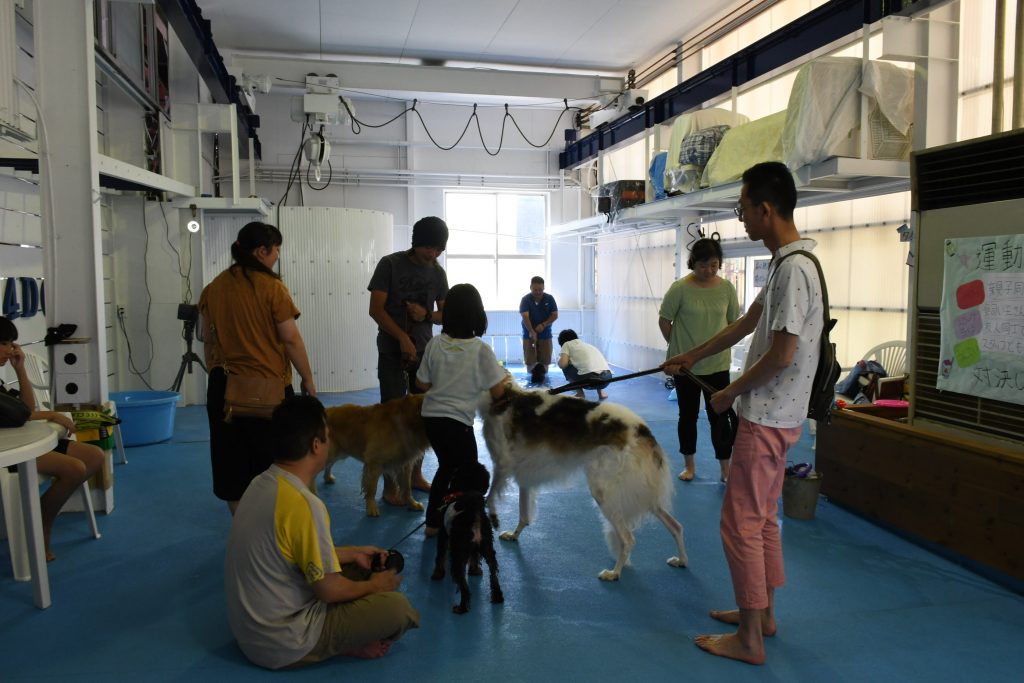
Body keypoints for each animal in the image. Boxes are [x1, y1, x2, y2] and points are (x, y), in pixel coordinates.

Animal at [428, 458, 503, 614]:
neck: (463, 489)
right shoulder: (474, 547)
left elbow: (440, 556)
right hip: (487, 547)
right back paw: (497, 597)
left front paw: (437, 574)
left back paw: (461, 607)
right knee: (494, 574)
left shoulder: (443, 535)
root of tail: (473, 512)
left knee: (463, 585)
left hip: (458, 552)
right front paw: (475, 571)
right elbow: (474, 558)